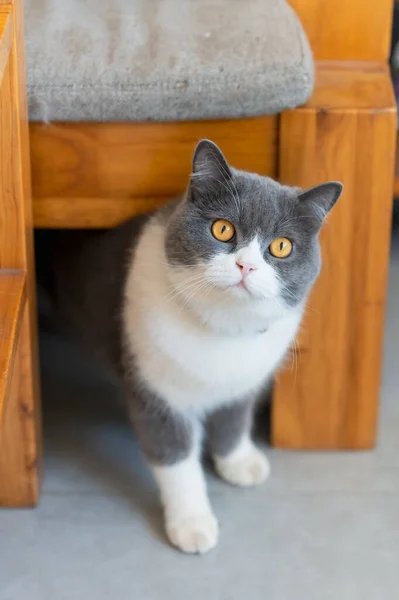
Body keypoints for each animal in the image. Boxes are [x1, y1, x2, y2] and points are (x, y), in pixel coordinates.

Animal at [50, 139, 344, 552]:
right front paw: (191, 523)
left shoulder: (245, 380)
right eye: (222, 229)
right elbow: (175, 460)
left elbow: (235, 419)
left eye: (282, 246)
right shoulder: (156, 390)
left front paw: (237, 463)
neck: (223, 328)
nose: (246, 266)